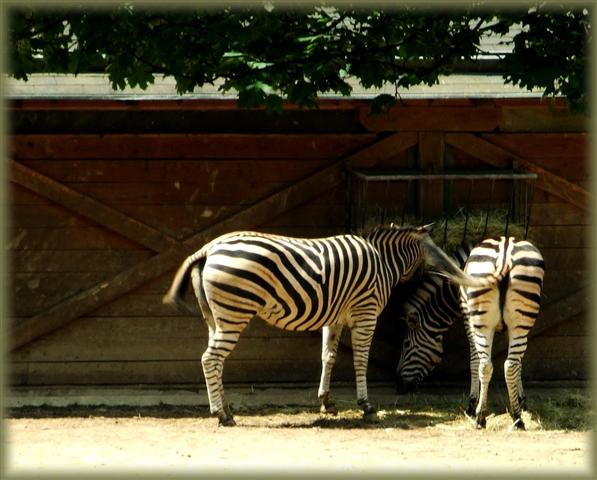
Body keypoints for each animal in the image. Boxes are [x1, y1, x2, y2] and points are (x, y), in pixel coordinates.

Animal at [163, 224, 488, 424]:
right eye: (437, 252)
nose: (460, 271)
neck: (384, 262)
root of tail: (209, 248)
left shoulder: (337, 317)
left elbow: (328, 356)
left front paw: (326, 402)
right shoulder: (365, 313)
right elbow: (360, 360)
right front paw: (366, 406)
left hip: (216, 317)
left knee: (215, 361)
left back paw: (226, 409)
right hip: (234, 312)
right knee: (210, 359)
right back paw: (221, 415)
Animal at [396, 238, 544, 430]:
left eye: (406, 344)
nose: (398, 385)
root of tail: (505, 254)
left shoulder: (467, 315)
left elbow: (474, 361)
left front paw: (472, 404)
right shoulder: (510, 328)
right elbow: (517, 363)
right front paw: (520, 400)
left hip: (481, 321)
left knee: (485, 365)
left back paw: (480, 416)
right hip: (521, 320)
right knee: (510, 365)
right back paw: (517, 419)